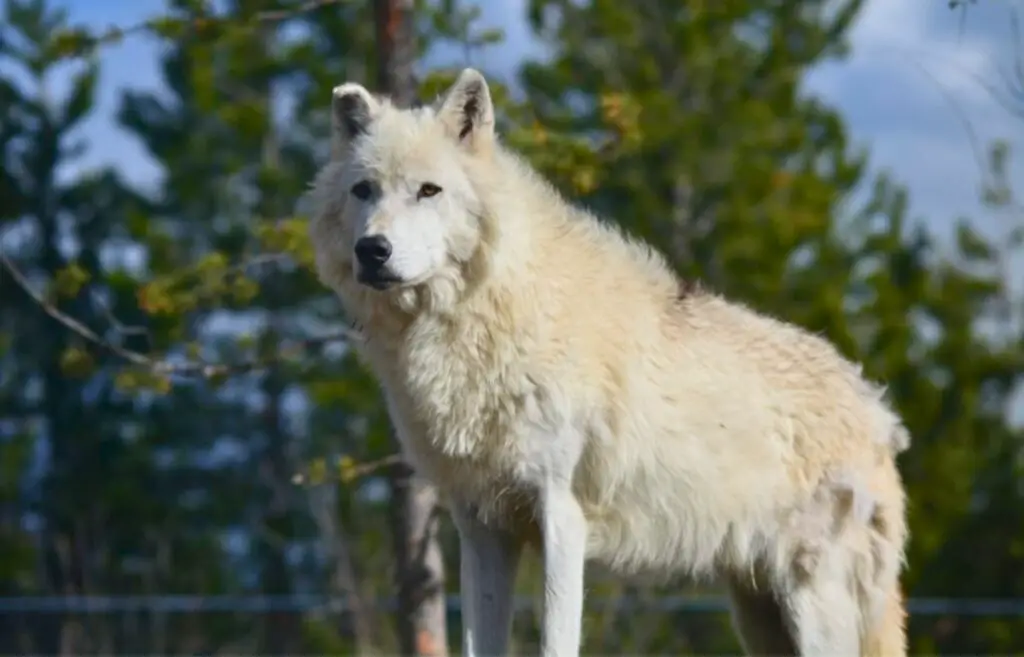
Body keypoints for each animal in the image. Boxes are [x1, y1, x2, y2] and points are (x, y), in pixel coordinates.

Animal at [307, 67, 909, 654]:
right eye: (364, 190)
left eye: (428, 190)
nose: (373, 250)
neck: (488, 312)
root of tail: (876, 410)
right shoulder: (481, 526)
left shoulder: (561, 517)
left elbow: (555, 642)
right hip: (758, 613)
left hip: (812, 604)